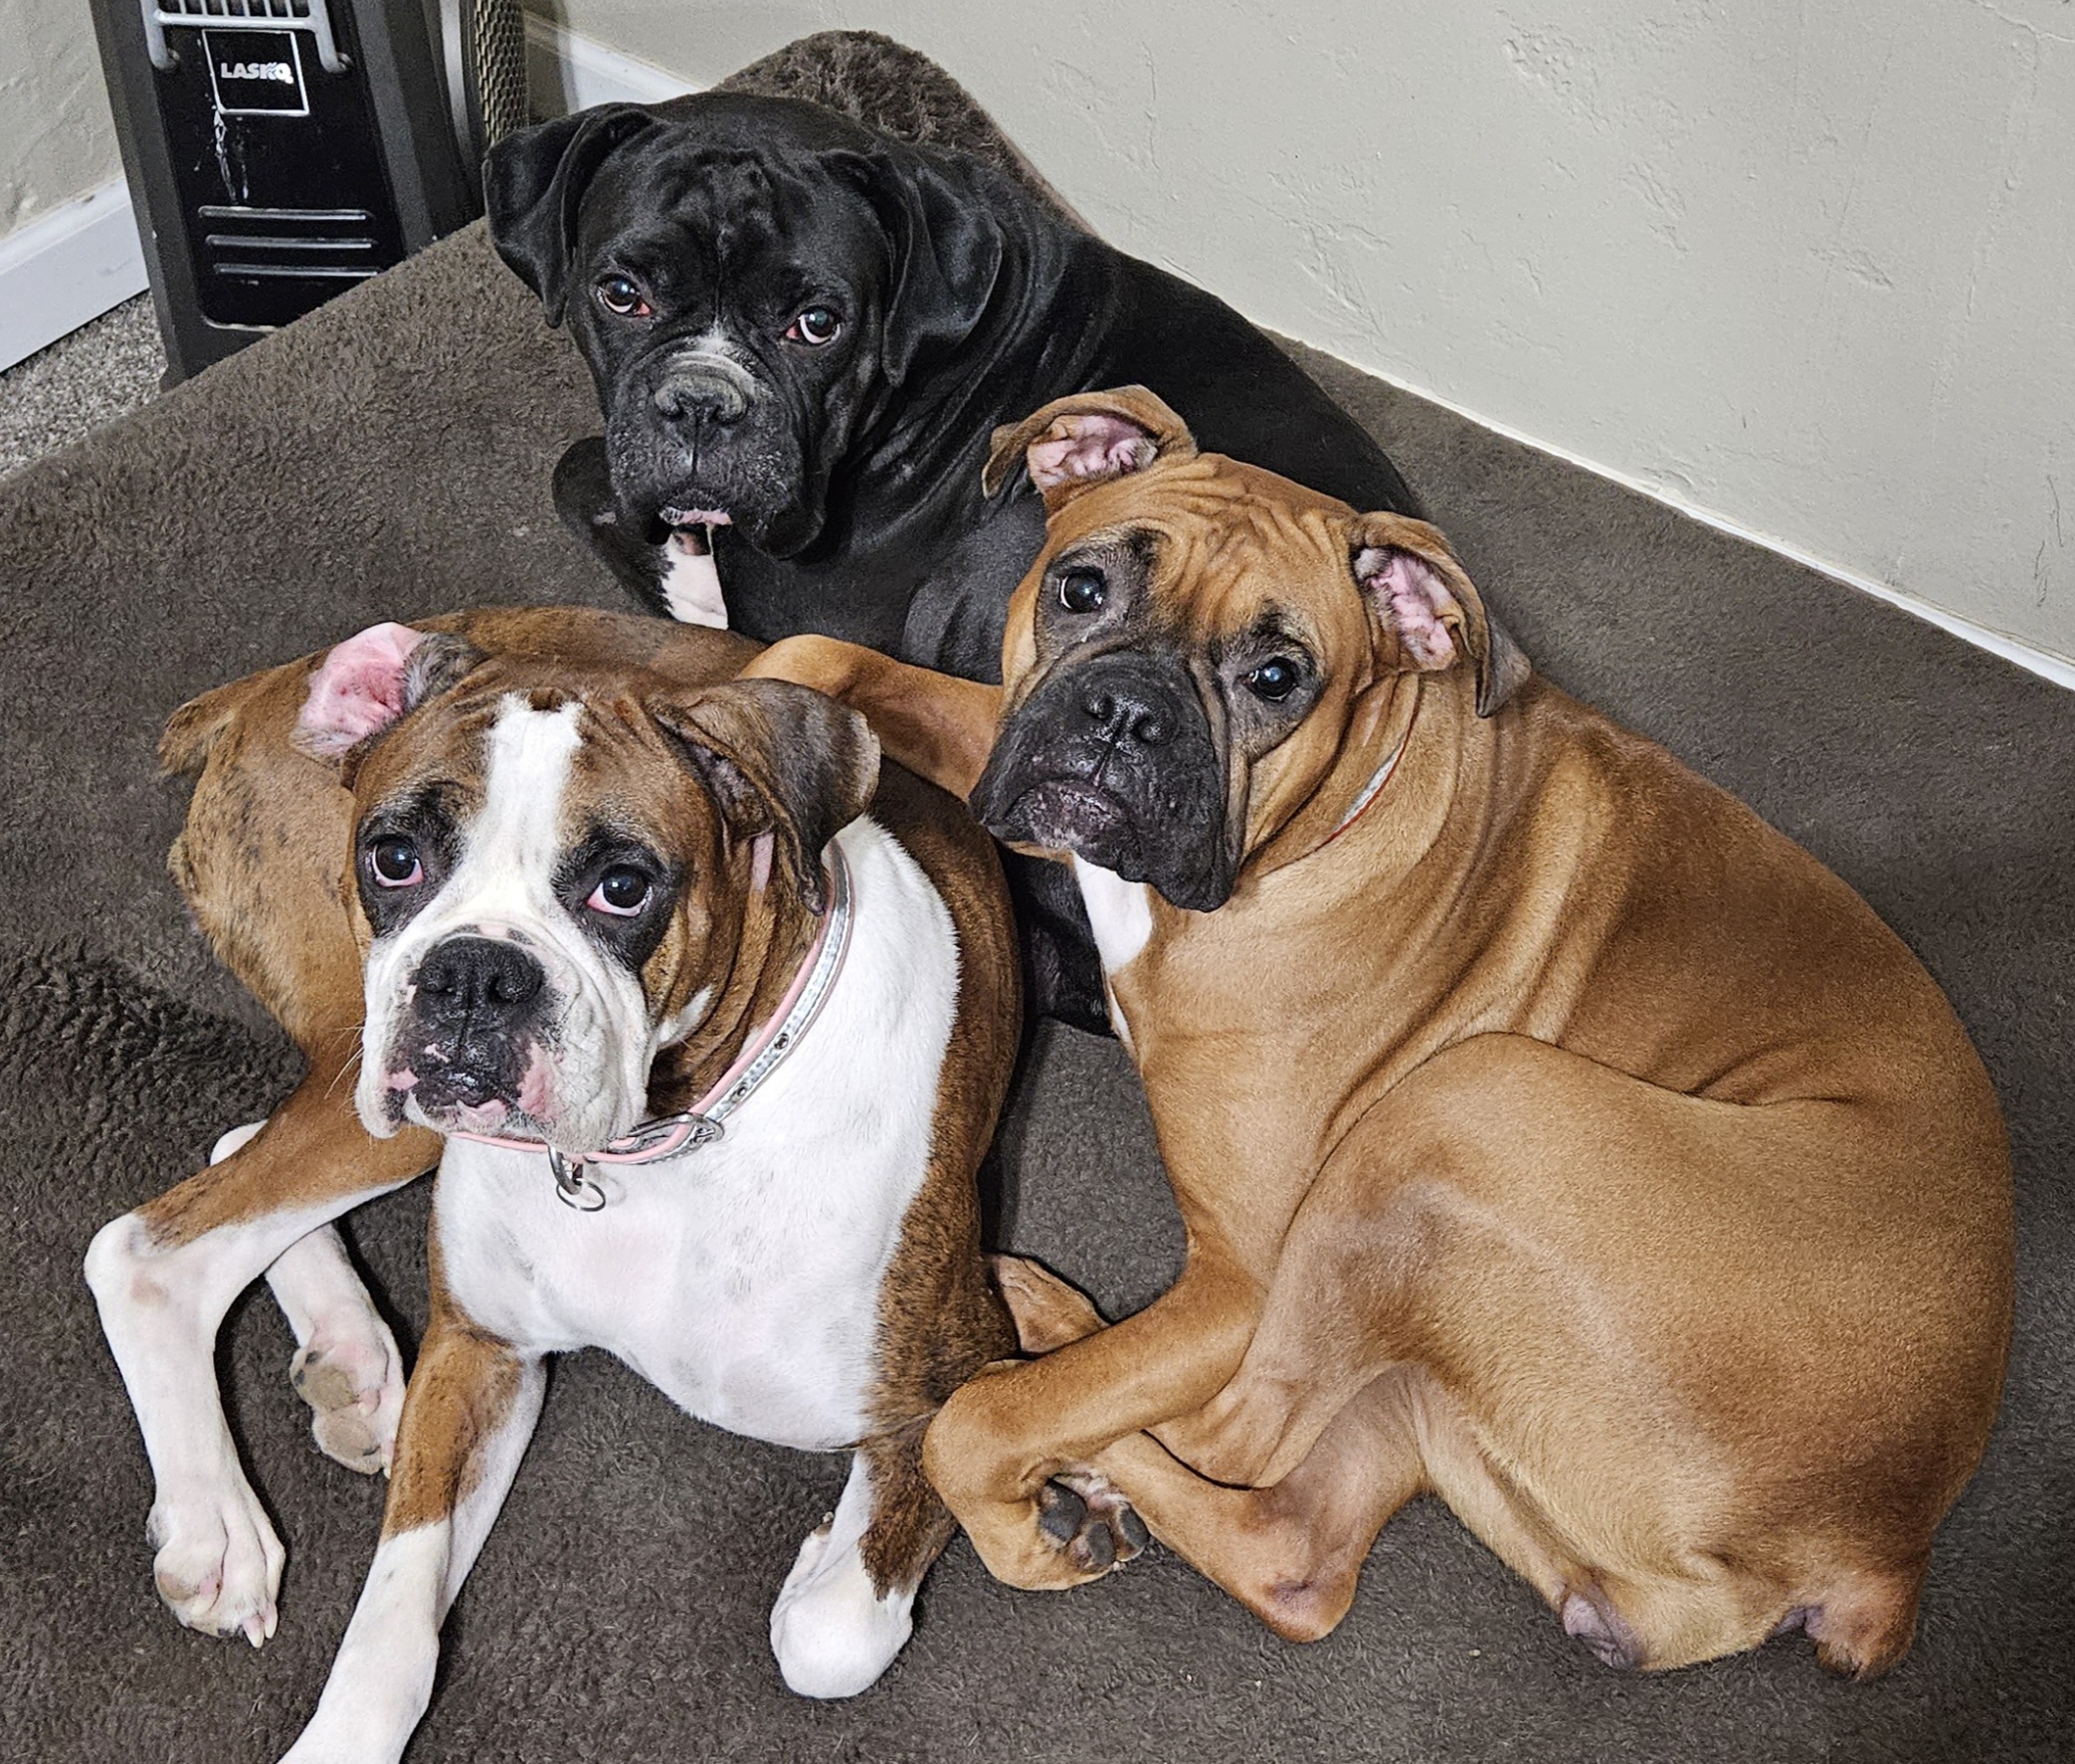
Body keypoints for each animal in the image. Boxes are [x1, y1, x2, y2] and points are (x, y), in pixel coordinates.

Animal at [85, 609, 1023, 1743]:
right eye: (394, 858)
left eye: (622, 886)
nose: (472, 974)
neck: (668, 1148)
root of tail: (273, 684)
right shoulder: (478, 1355)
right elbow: (388, 1629)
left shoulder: (957, 1385)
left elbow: (830, 1634)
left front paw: (821, 1561)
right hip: (383, 1095)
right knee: (147, 1245)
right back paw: (219, 1522)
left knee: (223, 1160)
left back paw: (352, 1369)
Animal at [740, 386, 2015, 1676]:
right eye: (1081, 587)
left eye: (1277, 674)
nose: (1124, 714)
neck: (1319, 825)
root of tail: (1880, 1553)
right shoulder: (997, 728)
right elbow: (822, 656)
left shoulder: (1242, 1276)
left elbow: (979, 1425)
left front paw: (1023, 1522)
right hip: (1424, 1352)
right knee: (1291, 1553)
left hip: (1461, 1110)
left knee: (1220, 1427)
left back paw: (1041, 1347)